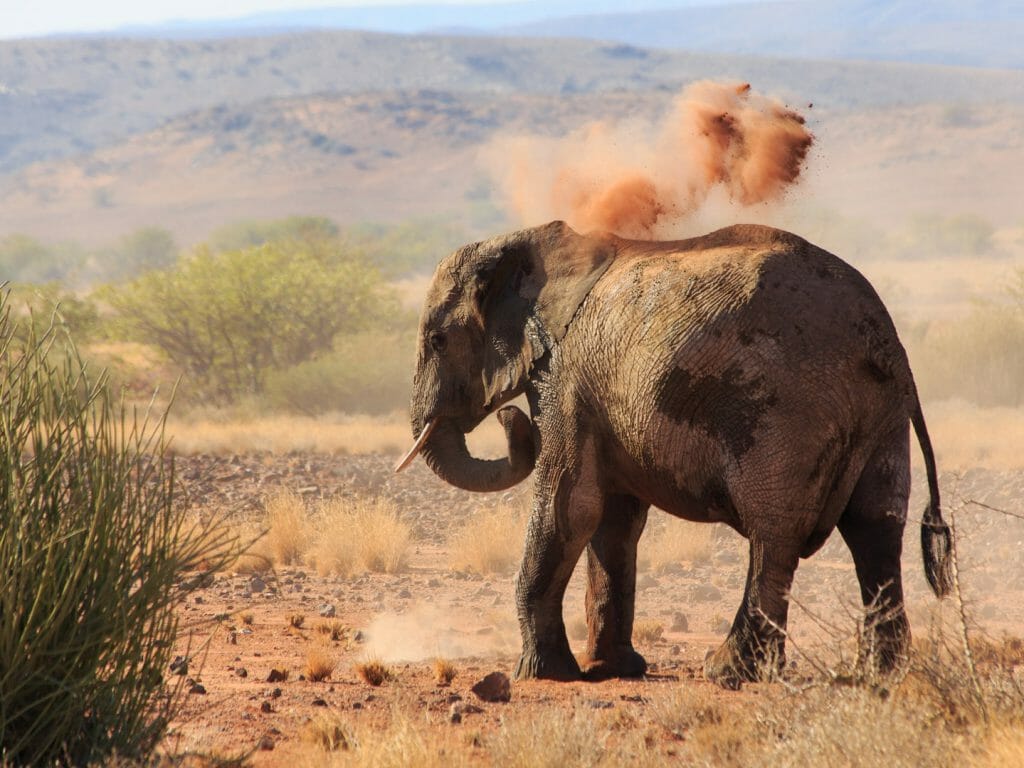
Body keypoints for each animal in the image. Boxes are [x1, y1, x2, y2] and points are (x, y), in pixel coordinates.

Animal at [396, 220, 953, 685]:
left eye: (438, 340)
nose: (510, 421)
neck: (528, 244)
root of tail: (889, 344)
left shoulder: (567, 380)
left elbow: (568, 508)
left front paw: (545, 675)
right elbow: (614, 522)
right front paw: (614, 670)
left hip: (787, 412)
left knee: (774, 534)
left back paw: (729, 673)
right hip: (880, 418)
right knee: (875, 531)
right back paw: (877, 674)